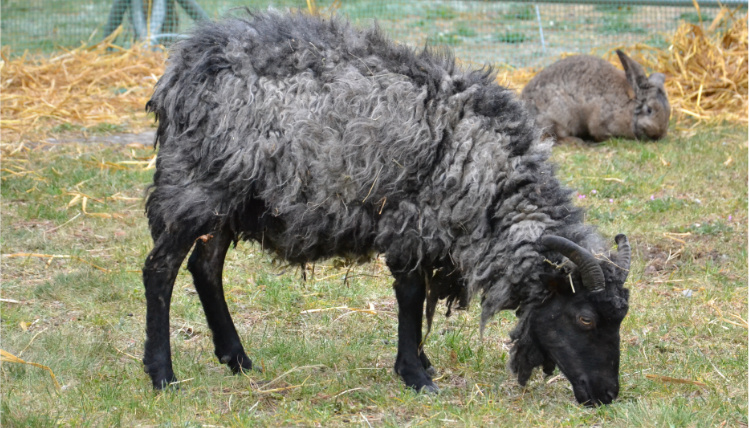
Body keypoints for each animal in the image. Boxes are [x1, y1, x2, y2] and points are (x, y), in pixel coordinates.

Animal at [142, 10, 632, 404]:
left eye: (619, 319)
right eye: (585, 318)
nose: (607, 395)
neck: (485, 171)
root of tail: (181, 68)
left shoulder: (427, 227)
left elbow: (418, 296)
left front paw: (421, 363)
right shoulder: (409, 220)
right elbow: (411, 296)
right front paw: (416, 375)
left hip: (230, 196)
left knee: (206, 267)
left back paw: (237, 359)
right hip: (194, 184)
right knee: (160, 270)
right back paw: (163, 375)